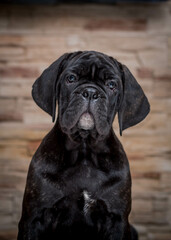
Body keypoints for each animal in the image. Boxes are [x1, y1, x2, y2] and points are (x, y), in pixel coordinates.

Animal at [17, 51, 150, 240]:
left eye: (111, 85)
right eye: (71, 78)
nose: (90, 92)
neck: (84, 150)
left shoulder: (117, 220)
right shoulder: (33, 218)